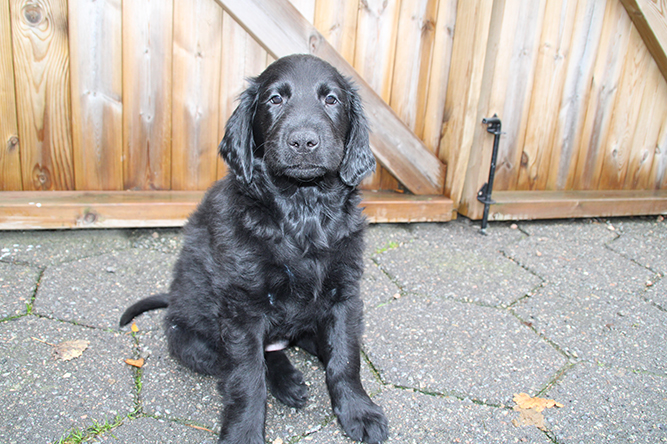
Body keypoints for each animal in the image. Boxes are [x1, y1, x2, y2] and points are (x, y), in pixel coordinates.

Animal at [120, 54, 388, 444]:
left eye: (331, 100)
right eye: (275, 99)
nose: (303, 142)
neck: (301, 209)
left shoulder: (345, 295)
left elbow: (345, 357)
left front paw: (358, 411)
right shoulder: (242, 309)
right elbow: (247, 378)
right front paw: (244, 433)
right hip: (188, 340)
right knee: (252, 360)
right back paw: (287, 381)